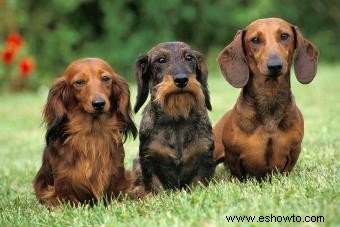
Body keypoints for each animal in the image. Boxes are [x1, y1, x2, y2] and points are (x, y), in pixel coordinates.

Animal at [32, 57, 137, 207]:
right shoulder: (61, 186)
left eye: (106, 78)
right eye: (79, 82)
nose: (99, 103)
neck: (93, 134)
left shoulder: (117, 178)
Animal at [132, 41, 214, 192]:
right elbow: (155, 189)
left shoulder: (205, 158)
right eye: (161, 60)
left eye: (189, 57)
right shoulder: (148, 160)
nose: (181, 80)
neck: (177, 120)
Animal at [214, 18, 320, 179]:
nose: (275, 65)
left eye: (284, 36)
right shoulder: (233, 156)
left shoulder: (293, 153)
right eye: (255, 40)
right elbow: (237, 175)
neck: (270, 96)